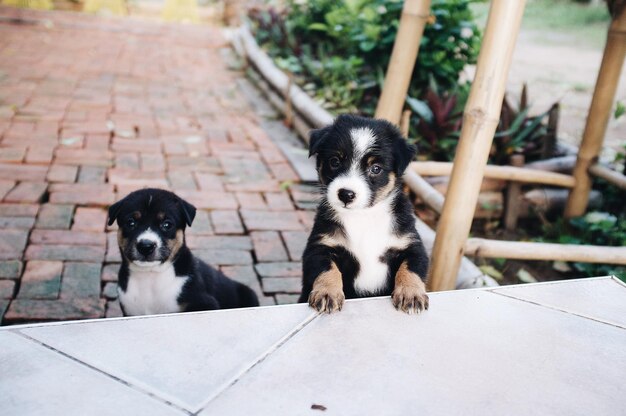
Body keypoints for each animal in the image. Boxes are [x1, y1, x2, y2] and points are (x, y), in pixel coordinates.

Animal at [298, 115, 428, 314]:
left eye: (375, 168)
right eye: (334, 161)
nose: (346, 194)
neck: (363, 216)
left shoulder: (412, 245)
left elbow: (410, 268)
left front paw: (411, 294)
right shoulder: (320, 246)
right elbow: (327, 269)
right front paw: (327, 293)